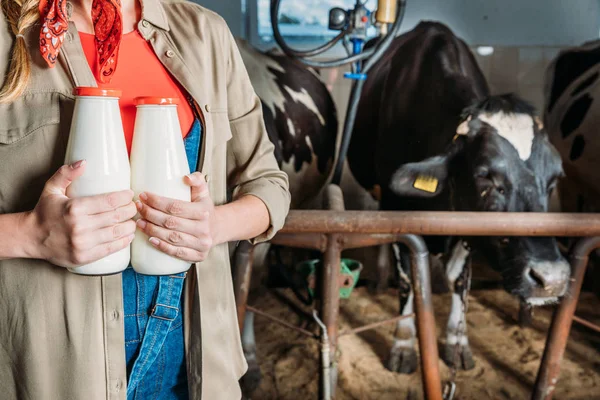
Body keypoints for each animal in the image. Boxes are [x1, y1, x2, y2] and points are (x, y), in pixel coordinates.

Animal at [346, 21, 568, 372]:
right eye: (485, 175)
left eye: (554, 179)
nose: (552, 278)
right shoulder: (395, 207)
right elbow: (408, 281)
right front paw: (403, 344)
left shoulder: (468, 227)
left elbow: (461, 282)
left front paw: (457, 342)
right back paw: (379, 279)